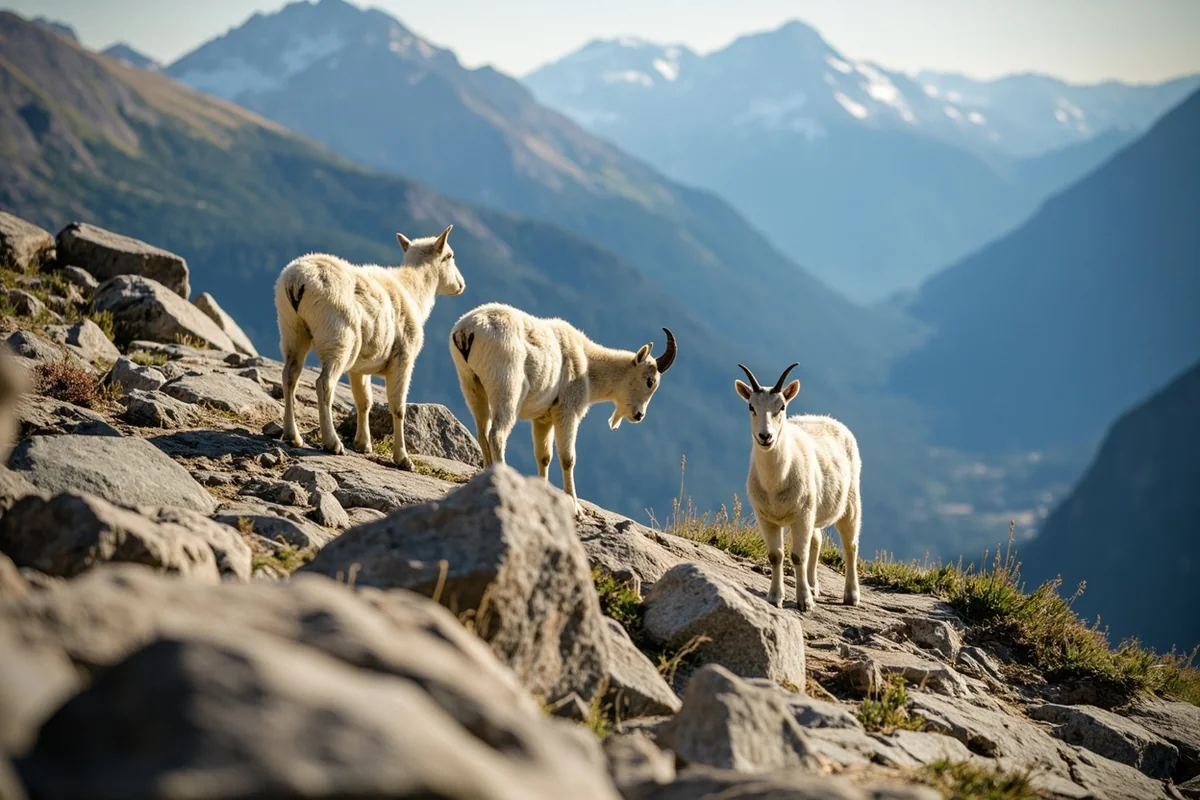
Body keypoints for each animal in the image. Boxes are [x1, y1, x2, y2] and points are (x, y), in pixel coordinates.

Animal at [274, 226, 465, 469]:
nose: (461, 285)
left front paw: (363, 444)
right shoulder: (403, 358)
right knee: (324, 384)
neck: (414, 289)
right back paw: (332, 442)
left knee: (290, 375)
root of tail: (296, 281)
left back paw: (292, 435)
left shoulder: (360, 365)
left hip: (291, 328)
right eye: (450, 256)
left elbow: (364, 400)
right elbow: (398, 407)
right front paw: (402, 458)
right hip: (339, 338)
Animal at [449, 302, 677, 511]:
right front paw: (575, 508)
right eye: (650, 381)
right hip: (506, 387)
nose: (639, 415)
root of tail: (468, 329)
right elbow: (568, 458)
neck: (588, 364)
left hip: (470, 383)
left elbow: (544, 456)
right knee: (497, 434)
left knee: (482, 432)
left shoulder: (543, 419)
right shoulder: (567, 411)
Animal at [735, 363, 862, 611]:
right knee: (817, 540)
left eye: (782, 406)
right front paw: (775, 597)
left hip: (850, 500)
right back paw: (813, 585)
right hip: (814, 509)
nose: (765, 436)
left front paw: (804, 602)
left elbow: (797, 557)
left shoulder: (801, 514)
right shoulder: (765, 517)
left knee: (850, 544)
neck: (776, 483)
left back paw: (851, 595)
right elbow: (776, 555)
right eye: (750, 406)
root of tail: (830, 420)